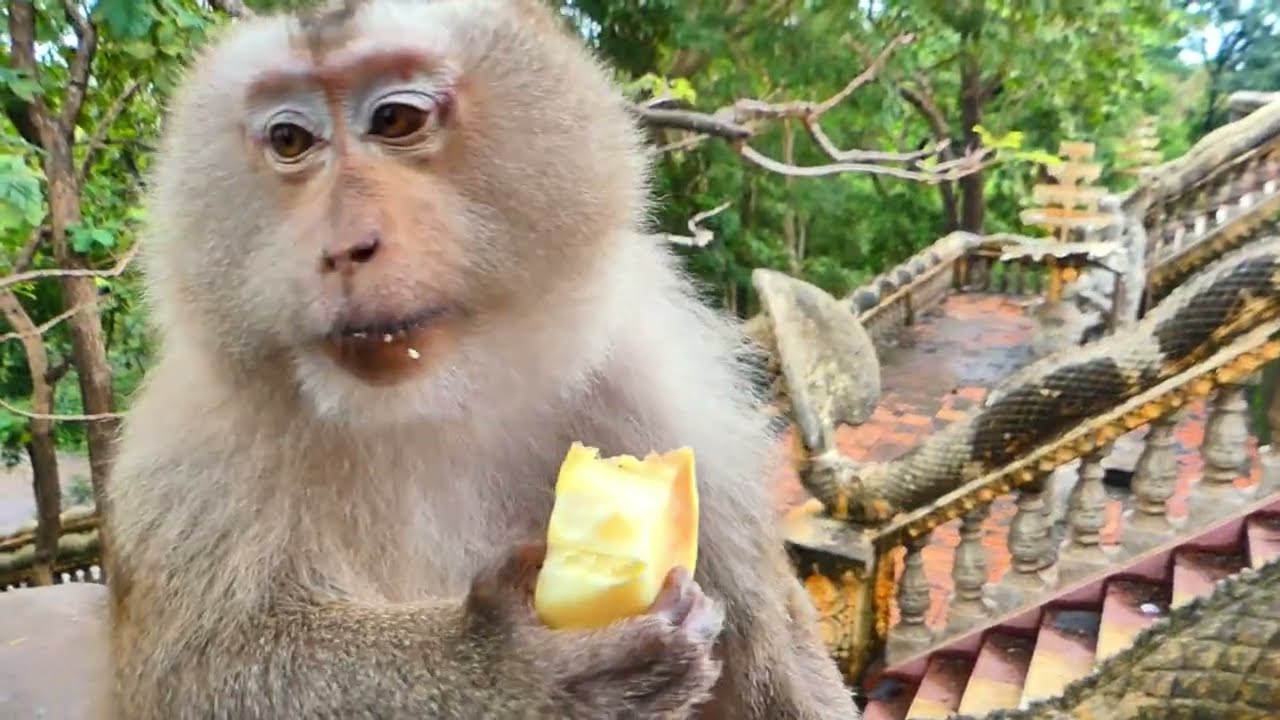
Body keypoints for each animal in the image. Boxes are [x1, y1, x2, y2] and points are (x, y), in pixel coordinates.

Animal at [104, 1, 861, 718]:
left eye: (396, 119)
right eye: (291, 140)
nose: (346, 247)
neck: (440, 397)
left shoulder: (663, 380)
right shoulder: (193, 444)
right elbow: (201, 676)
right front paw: (509, 668)